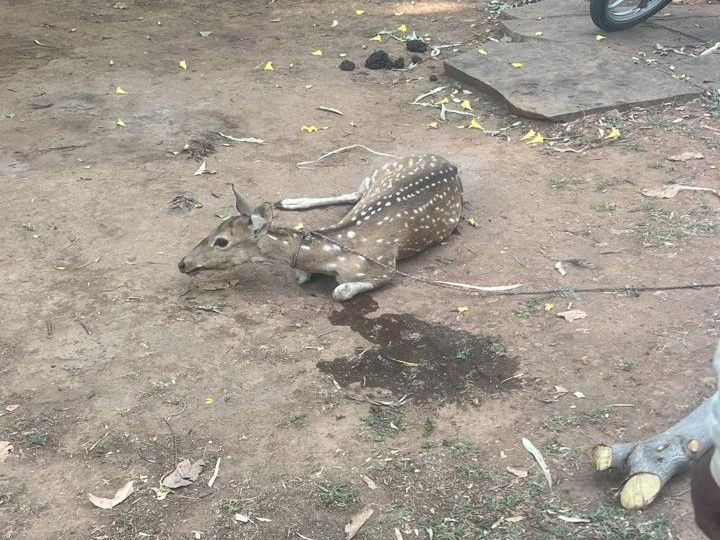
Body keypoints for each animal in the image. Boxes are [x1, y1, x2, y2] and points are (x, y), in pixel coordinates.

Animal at [178, 154, 463, 301]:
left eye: (221, 241)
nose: (182, 263)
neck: (332, 256)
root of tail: (452, 165)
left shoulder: (385, 268)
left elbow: (339, 292)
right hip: (378, 173)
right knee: (355, 194)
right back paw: (288, 201)